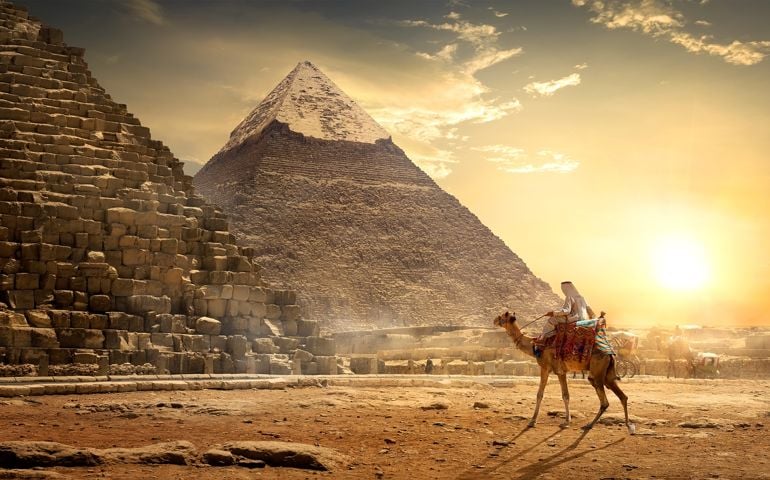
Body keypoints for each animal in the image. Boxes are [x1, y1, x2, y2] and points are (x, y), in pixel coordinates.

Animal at [494, 311, 635, 434]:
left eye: (502, 316)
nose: (494, 320)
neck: (534, 345)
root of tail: (610, 353)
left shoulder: (547, 368)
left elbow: (542, 394)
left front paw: (533, 421)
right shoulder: (561, 371)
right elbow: (565, 395)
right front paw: (567, 421)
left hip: (598, 372)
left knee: (605, 401)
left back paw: (590, 424)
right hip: (607, 374)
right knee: (622, 396)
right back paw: (628, 425)